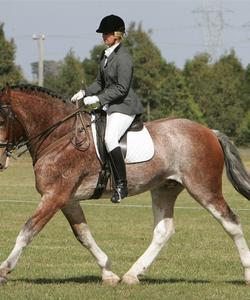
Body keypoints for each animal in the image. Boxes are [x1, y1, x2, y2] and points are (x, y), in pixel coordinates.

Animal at [0, 82, 249, 286]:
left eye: (2, 119)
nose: (0, 159)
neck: (61, 135)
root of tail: (209, 131)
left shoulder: (54, 196)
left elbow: (27, 231)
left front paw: (4, 270)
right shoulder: (67, 199)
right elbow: (83, 235)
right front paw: (108, 272)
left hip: (203, 188)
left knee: (231, 222)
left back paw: (247, 273)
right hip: (164, 189)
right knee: (163, 231)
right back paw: (132, 274)